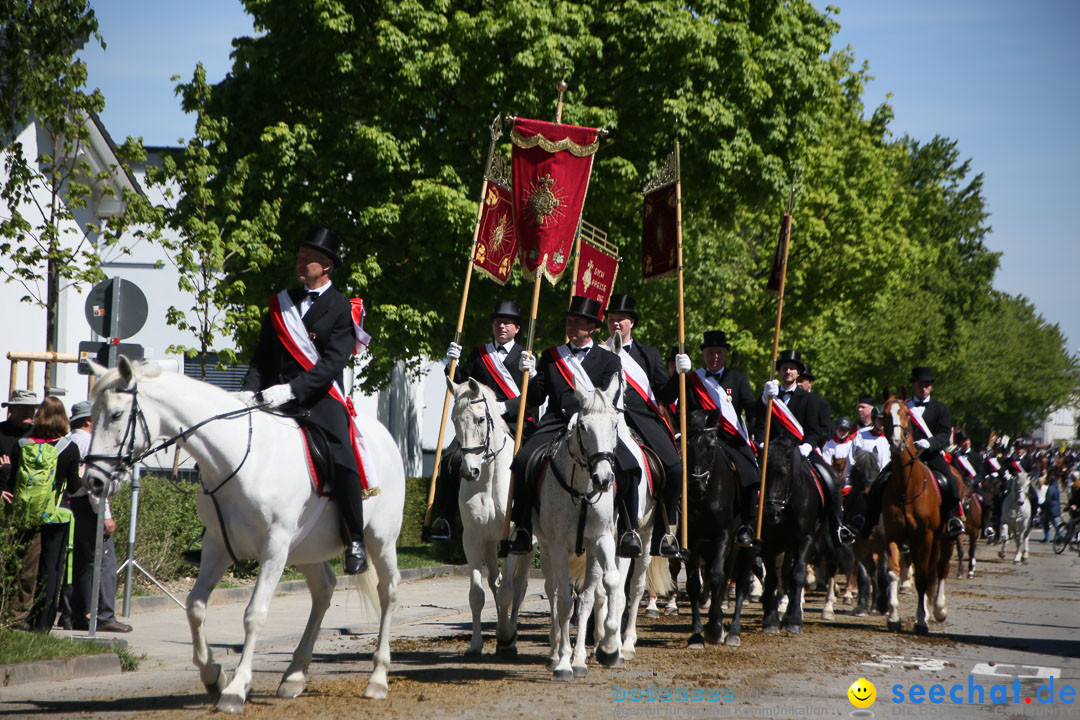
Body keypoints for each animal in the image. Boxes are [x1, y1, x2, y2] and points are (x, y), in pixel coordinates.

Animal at [83, 358, 406, 712]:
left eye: (116, 414)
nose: (94, 481)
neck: (240, 458)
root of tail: (386, 436)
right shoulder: (217, 545)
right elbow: (195, 606)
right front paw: (213, 676)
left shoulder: (274, 548)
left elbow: (254, 615)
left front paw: (235, 689)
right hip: (305, 548)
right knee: (324, 589)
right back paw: (294, 675)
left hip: (380, 539)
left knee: (388, 591)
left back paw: (377, 679)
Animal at [447, 379, 531, 656]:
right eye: (454, 419)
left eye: (480, 419)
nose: (469, 471)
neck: (489, 479)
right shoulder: (473, 538)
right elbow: (477, 594)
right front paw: (476, 645)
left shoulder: (513, 537)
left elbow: (508, 590)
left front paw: (506, 636)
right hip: (491, 544)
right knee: (495, 582)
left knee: (519, 585)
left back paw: (511, 635)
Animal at [881, 395, 959, 634]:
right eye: (884, 414)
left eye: (906, 413)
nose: (897, 443)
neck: (907, 486)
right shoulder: (894, 535)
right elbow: (893, 573)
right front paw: (893, 617)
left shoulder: (924, 537)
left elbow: (923, 578)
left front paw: (921, 620)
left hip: (945, 539)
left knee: (941, 569)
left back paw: (939, 610)